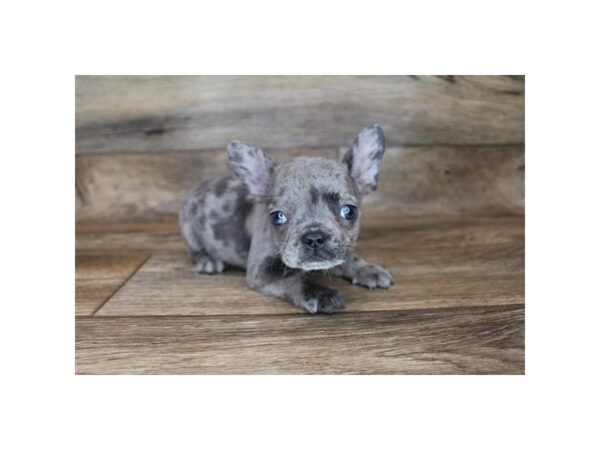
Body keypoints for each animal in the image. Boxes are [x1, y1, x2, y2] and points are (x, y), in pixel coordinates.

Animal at [178, 123, 394, 312]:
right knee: (195, 250)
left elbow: (349, 258)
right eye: (277, 217)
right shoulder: (261, 270)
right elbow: (294, 279)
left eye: (349, 211)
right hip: (188, 226)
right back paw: (208, 260)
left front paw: (368, 269)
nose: (314, 238)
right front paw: (320, 294)